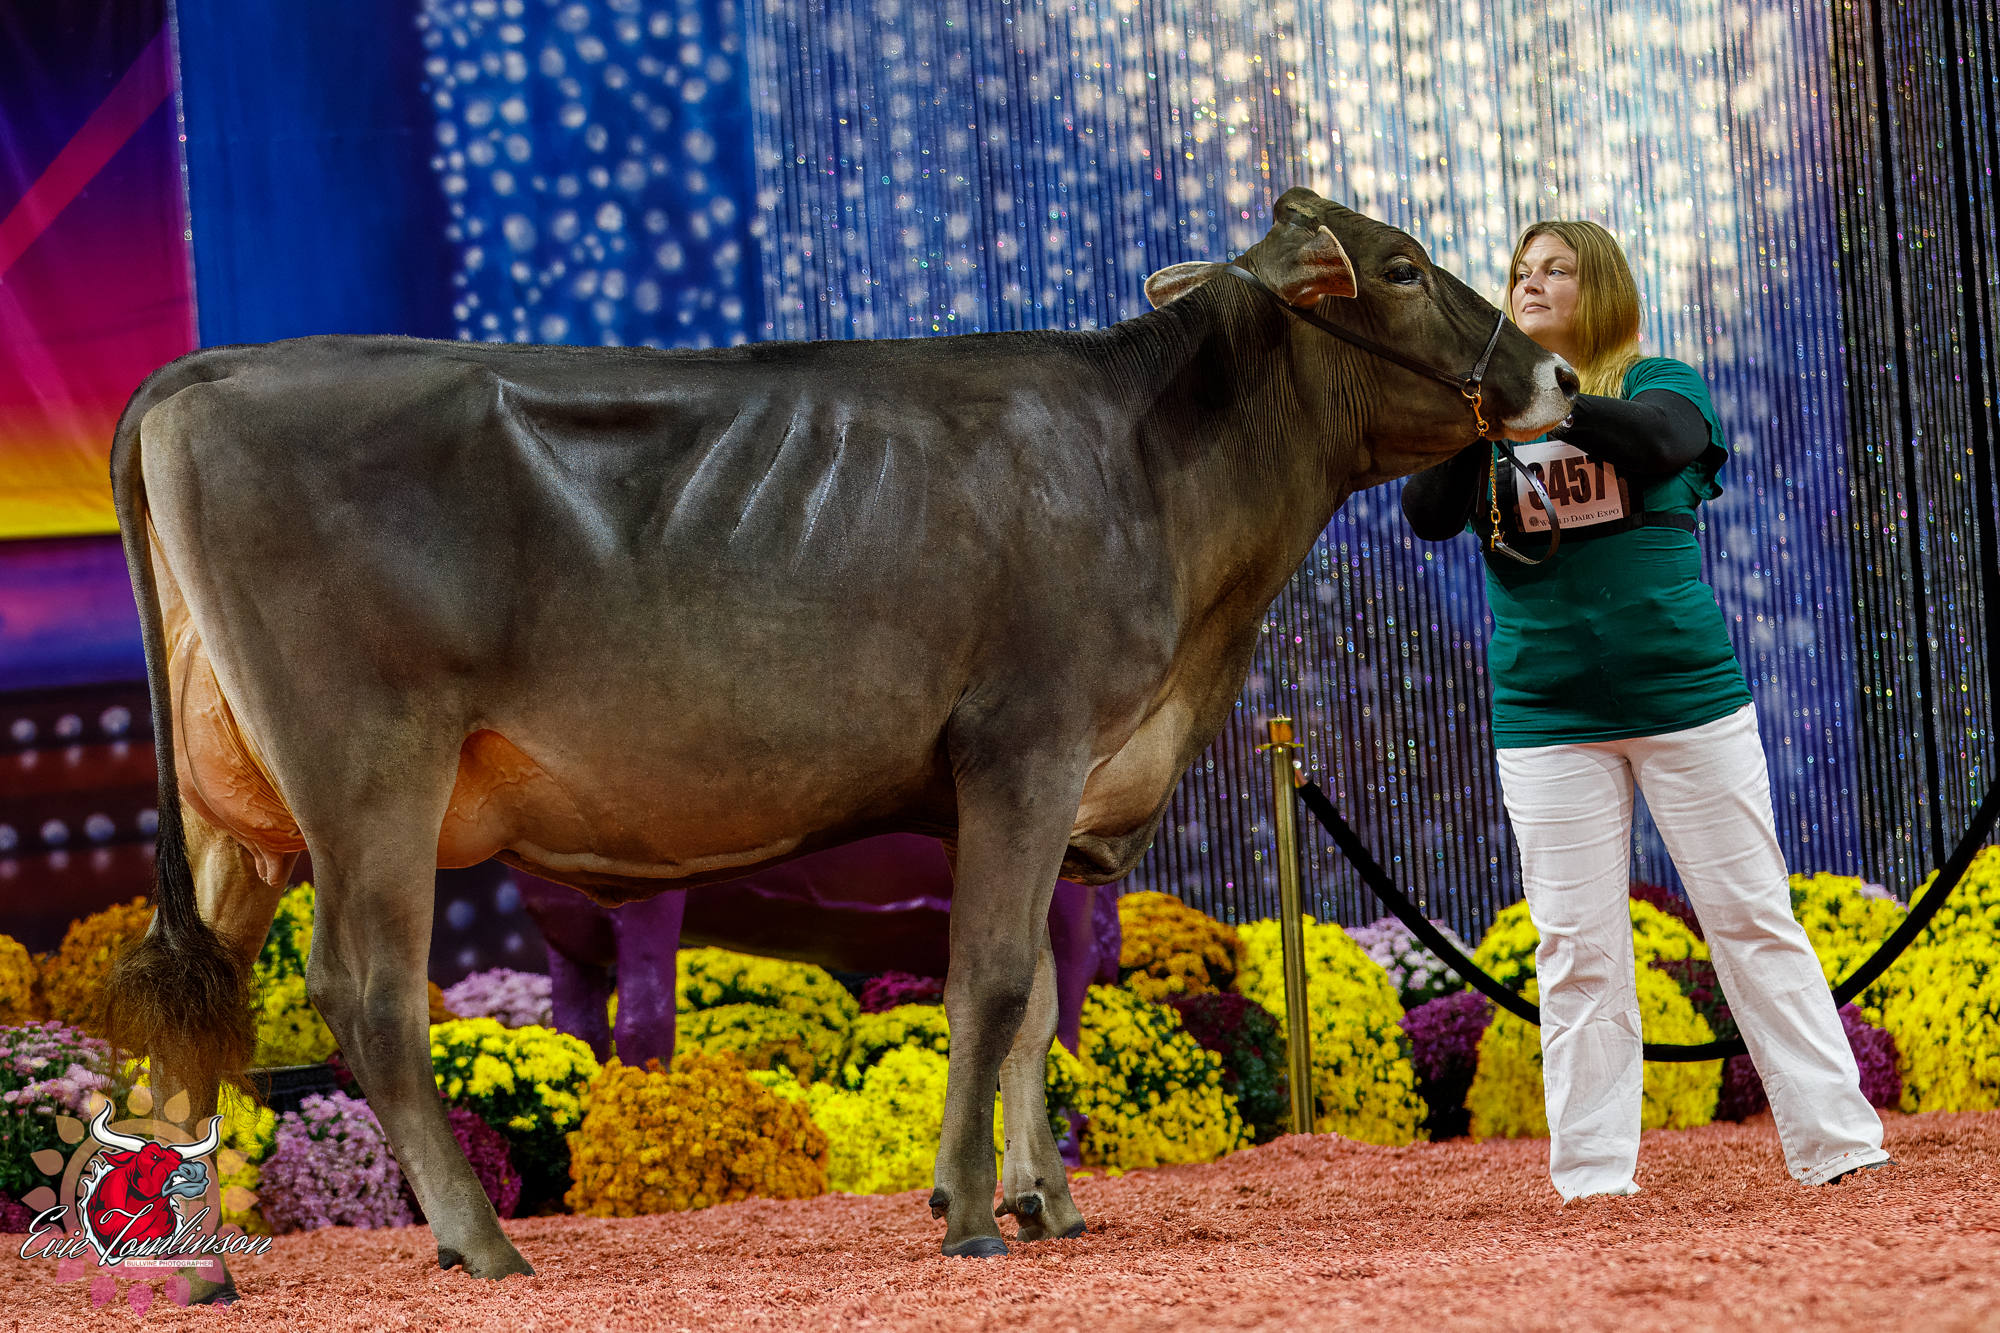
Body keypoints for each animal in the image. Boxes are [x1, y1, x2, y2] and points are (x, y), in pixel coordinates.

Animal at [104, 186, 1574, 1283]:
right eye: (1401, 266)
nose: (1558, 371)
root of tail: (203, 369)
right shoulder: (1027, 746)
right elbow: (992, 984)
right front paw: (973, 1215)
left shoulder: (1030, 789)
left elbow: (1037, 1002)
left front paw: (1045, 1199)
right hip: (370, 769)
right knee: (365, 989)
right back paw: (479, 1242)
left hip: (241, 813)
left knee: (190, 997)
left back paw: (183, 1261)